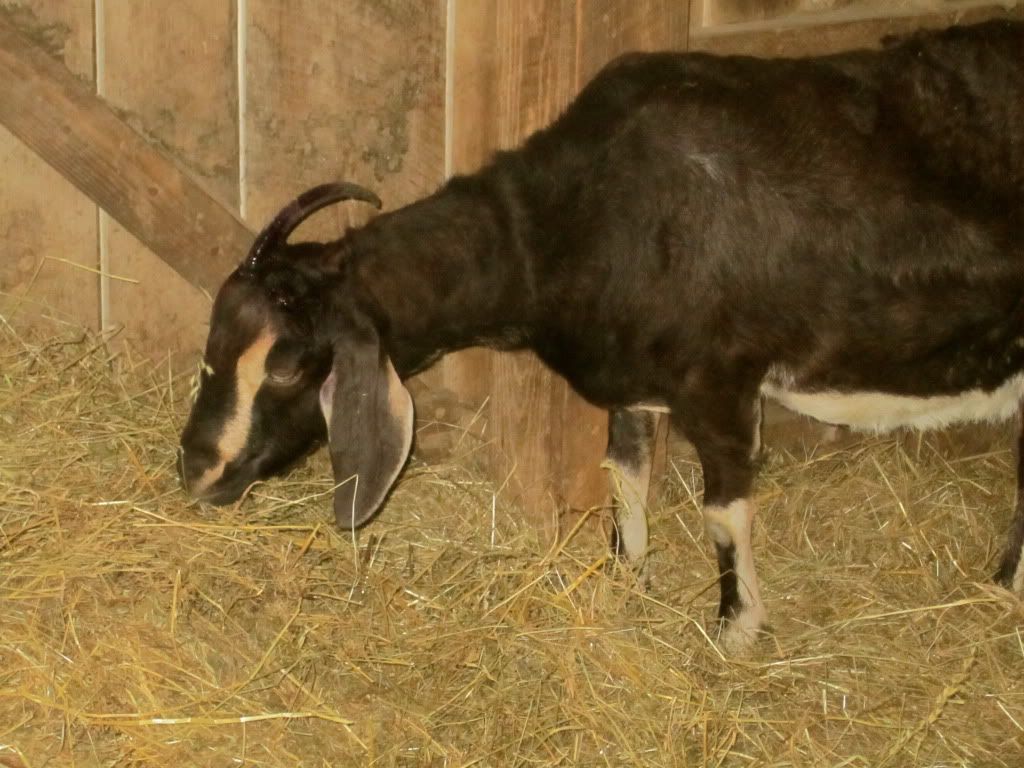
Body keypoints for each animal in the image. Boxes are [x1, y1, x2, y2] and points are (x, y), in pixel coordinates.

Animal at [180, 19, 1024, 650]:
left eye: (288, 369)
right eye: (214, 347)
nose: (196, 469)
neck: (573, 219)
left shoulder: (721, 381)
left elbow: (723, 510)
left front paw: (734, 631)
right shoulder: (638, 384)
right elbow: (626, 476)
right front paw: (627, 580)